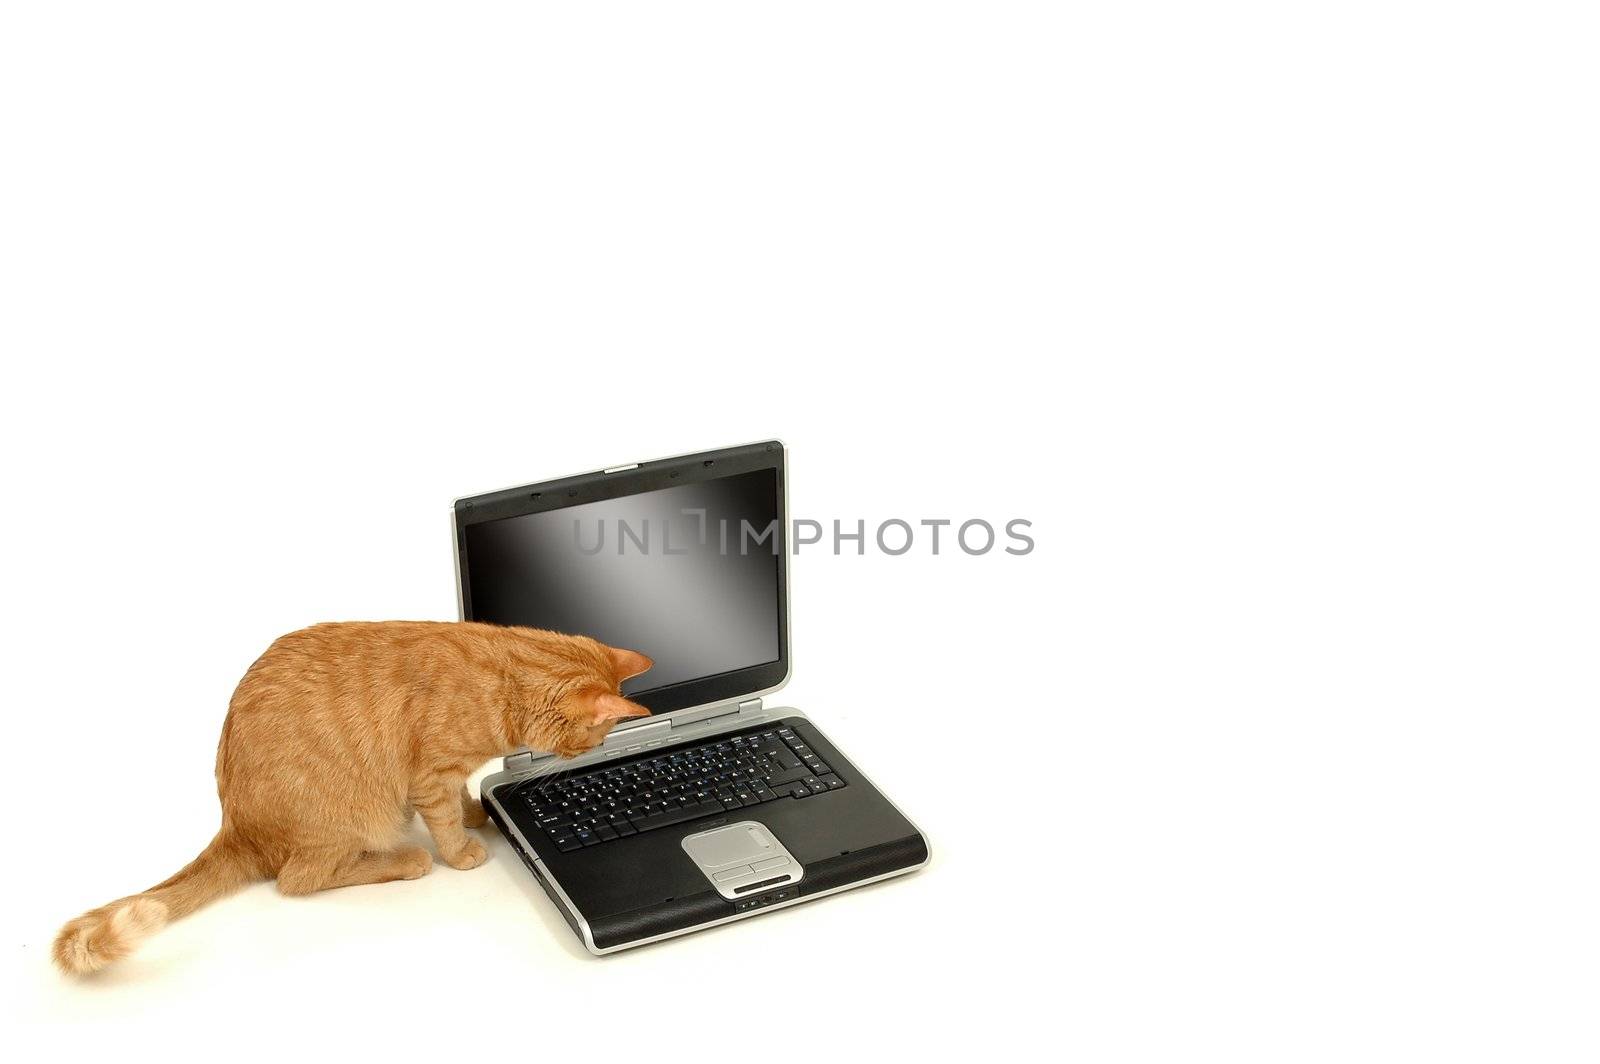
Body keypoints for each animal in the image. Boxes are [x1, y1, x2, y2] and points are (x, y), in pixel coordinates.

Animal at [51, 617, 649, 972]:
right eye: (597, 737)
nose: (596, 753)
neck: (501, 676)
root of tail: (235, 826)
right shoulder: (429, 775)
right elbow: (444, 821)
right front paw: (462, 850)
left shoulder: (447, 773)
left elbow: (461, 800)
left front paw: (477, 814)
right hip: (351, 821)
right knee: (299, 880)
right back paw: (405, 860)